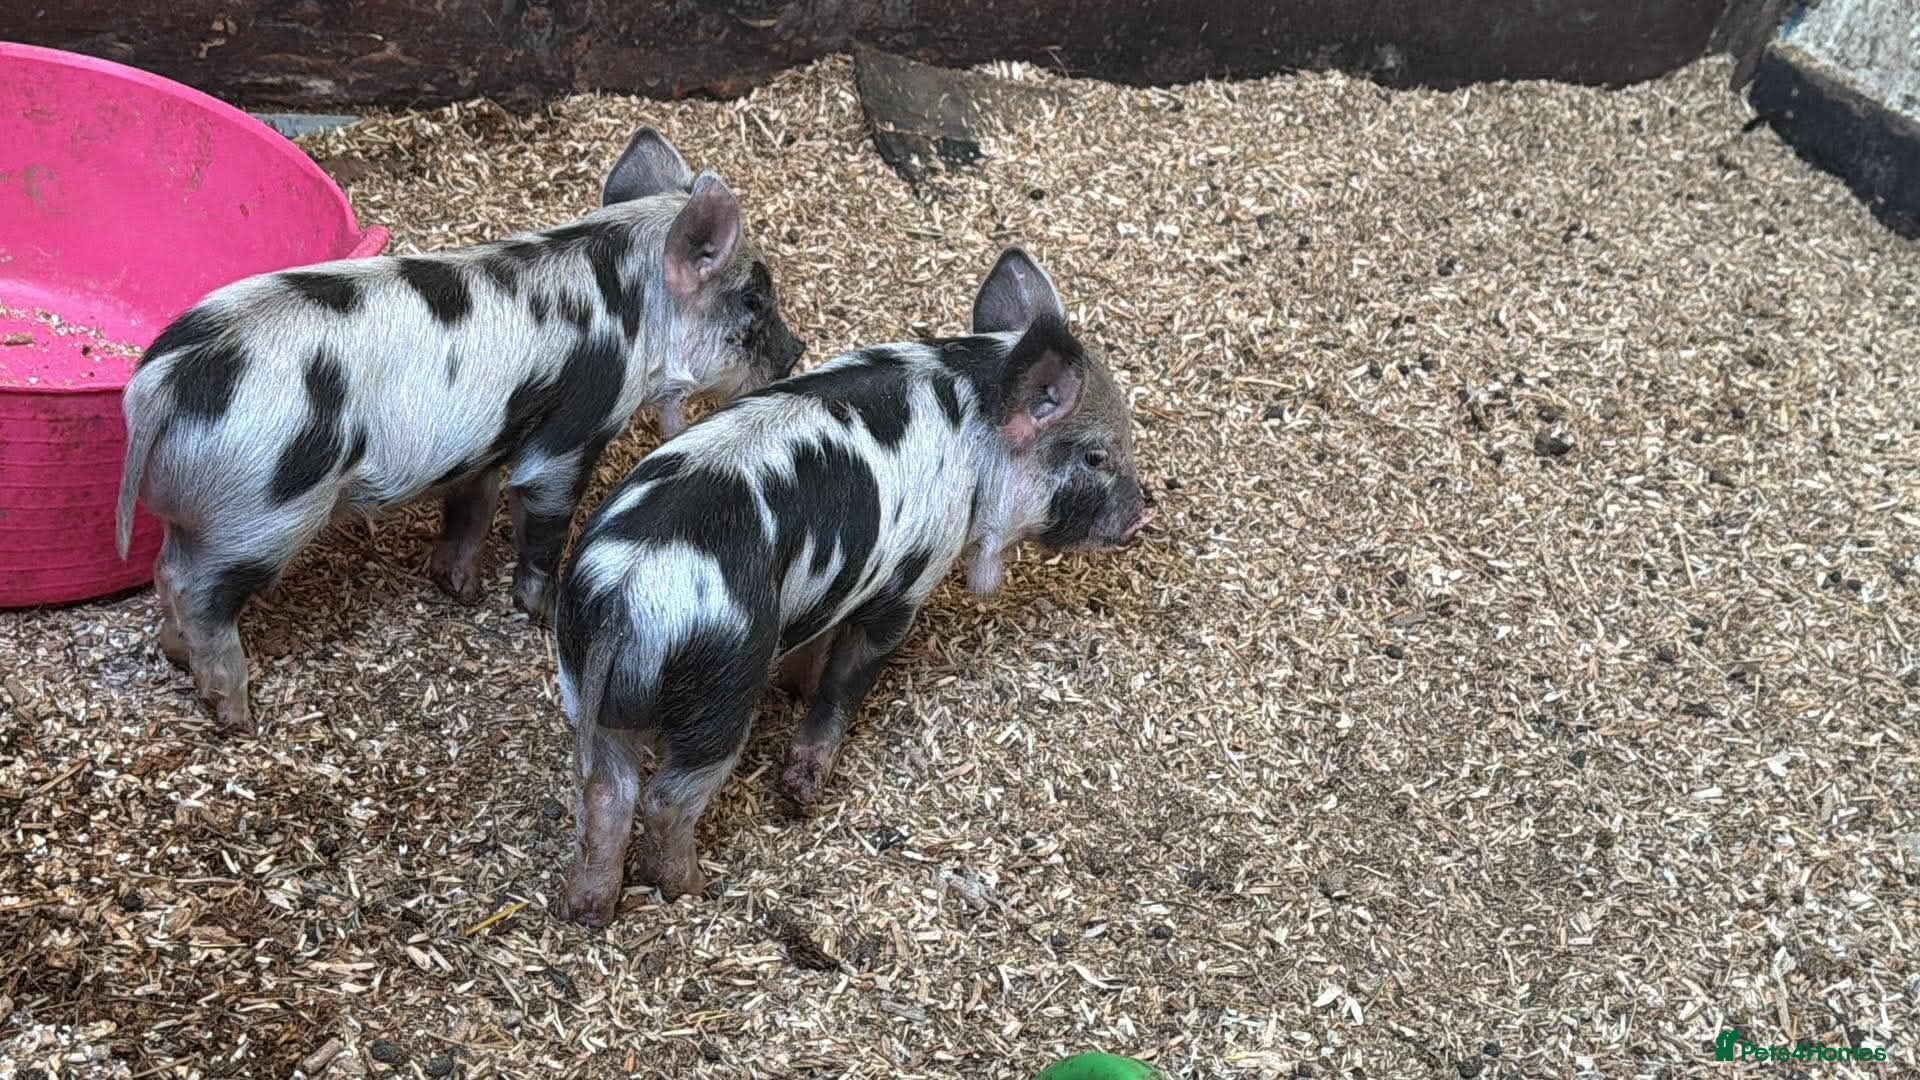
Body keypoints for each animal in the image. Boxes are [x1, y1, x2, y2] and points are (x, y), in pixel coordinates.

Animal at [114, 126, 805, 732]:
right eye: (753, 300)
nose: (798, 350)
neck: (636, 315)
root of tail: (162, 387)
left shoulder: (484, 443)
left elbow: (470, 510)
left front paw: (462, 590)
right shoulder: (572, 431)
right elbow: (544, 522)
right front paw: (537, 609)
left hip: (208, 515)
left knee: (166, 571)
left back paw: (175, 655)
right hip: (259, 517)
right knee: (196, 590)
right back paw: (235, 713)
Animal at [553, 248, 1151, 927]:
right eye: (1097, 457)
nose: (1143, 514)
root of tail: (626, 595)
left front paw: (796, 684)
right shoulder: (905, 581)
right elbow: (844, 683)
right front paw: (801, 784)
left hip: (586, 679)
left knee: (606, 792)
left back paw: (588, 911)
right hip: (719, 692)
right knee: (664, 799)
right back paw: (695, 888)